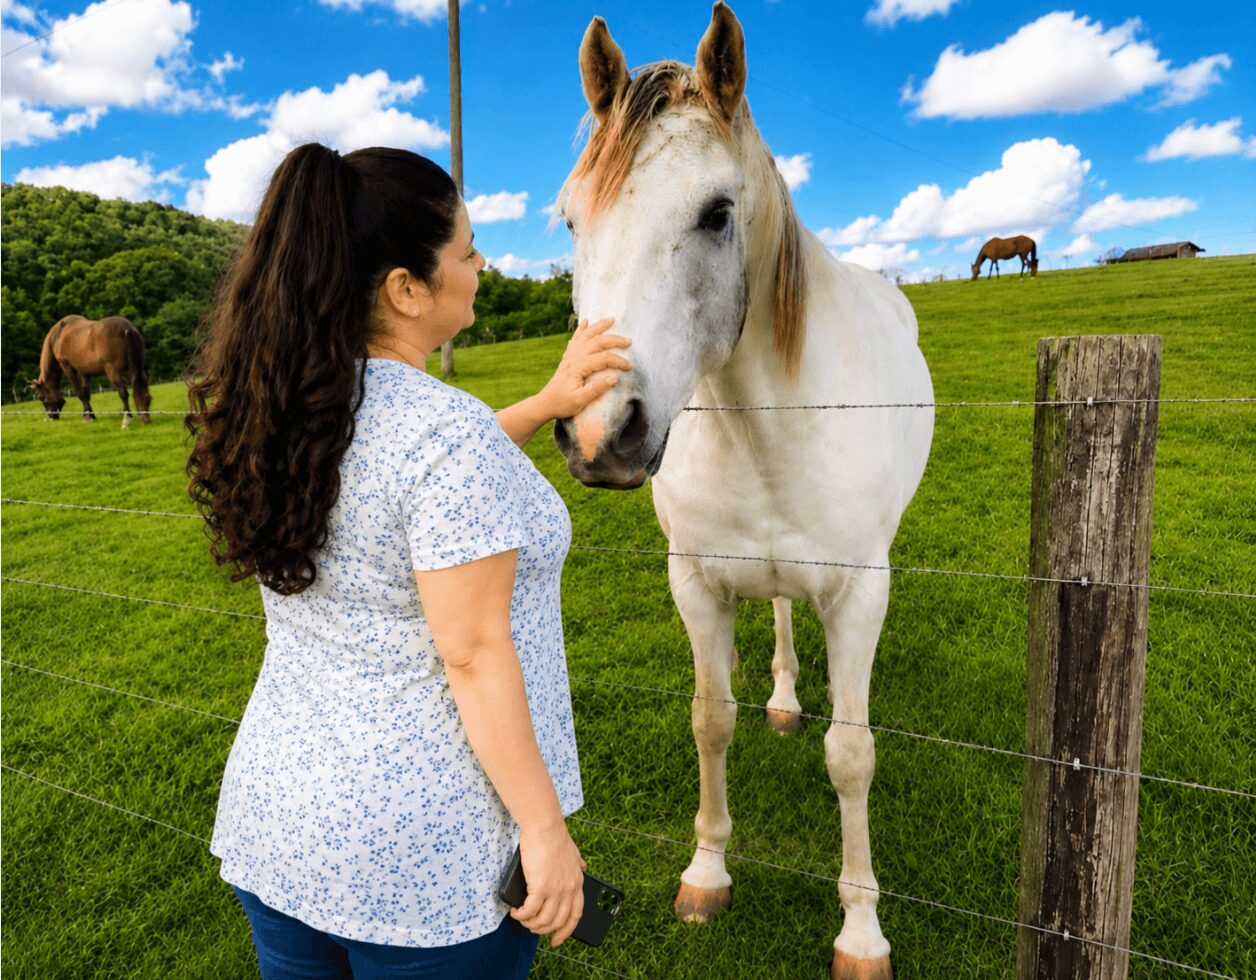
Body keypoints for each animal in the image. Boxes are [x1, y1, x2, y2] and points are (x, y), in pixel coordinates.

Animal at [553, 6, 933, 978]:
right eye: (571, 221)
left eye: (717, 212)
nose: (600, 433)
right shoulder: (696, 583)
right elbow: (710, 719)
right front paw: (707, 872)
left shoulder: (858, 597)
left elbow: (851, 755)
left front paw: (861, 932)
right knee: (782, 617)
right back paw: (786, 699)